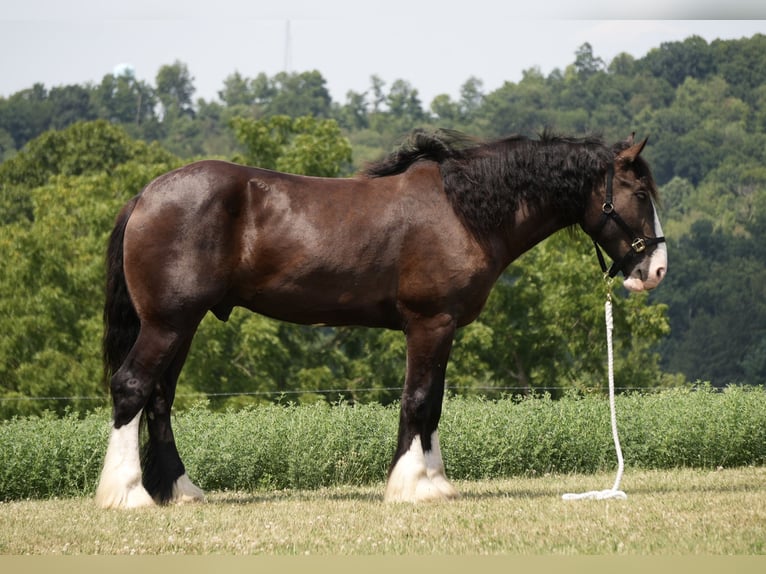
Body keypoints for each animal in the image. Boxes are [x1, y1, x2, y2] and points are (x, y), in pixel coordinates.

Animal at [95, 130, 667, 508]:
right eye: (639, 194)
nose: (655, 269)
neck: (462, 211)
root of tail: (144, 195)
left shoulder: (441, 329)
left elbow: (431, 404)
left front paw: (432, 482)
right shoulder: (430, 323)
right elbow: (418, 399)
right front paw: (413, 484)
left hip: (182, 326)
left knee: (159, 400)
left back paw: (181, 491)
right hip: (168, 323)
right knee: (131, 388)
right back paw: (127, 495)